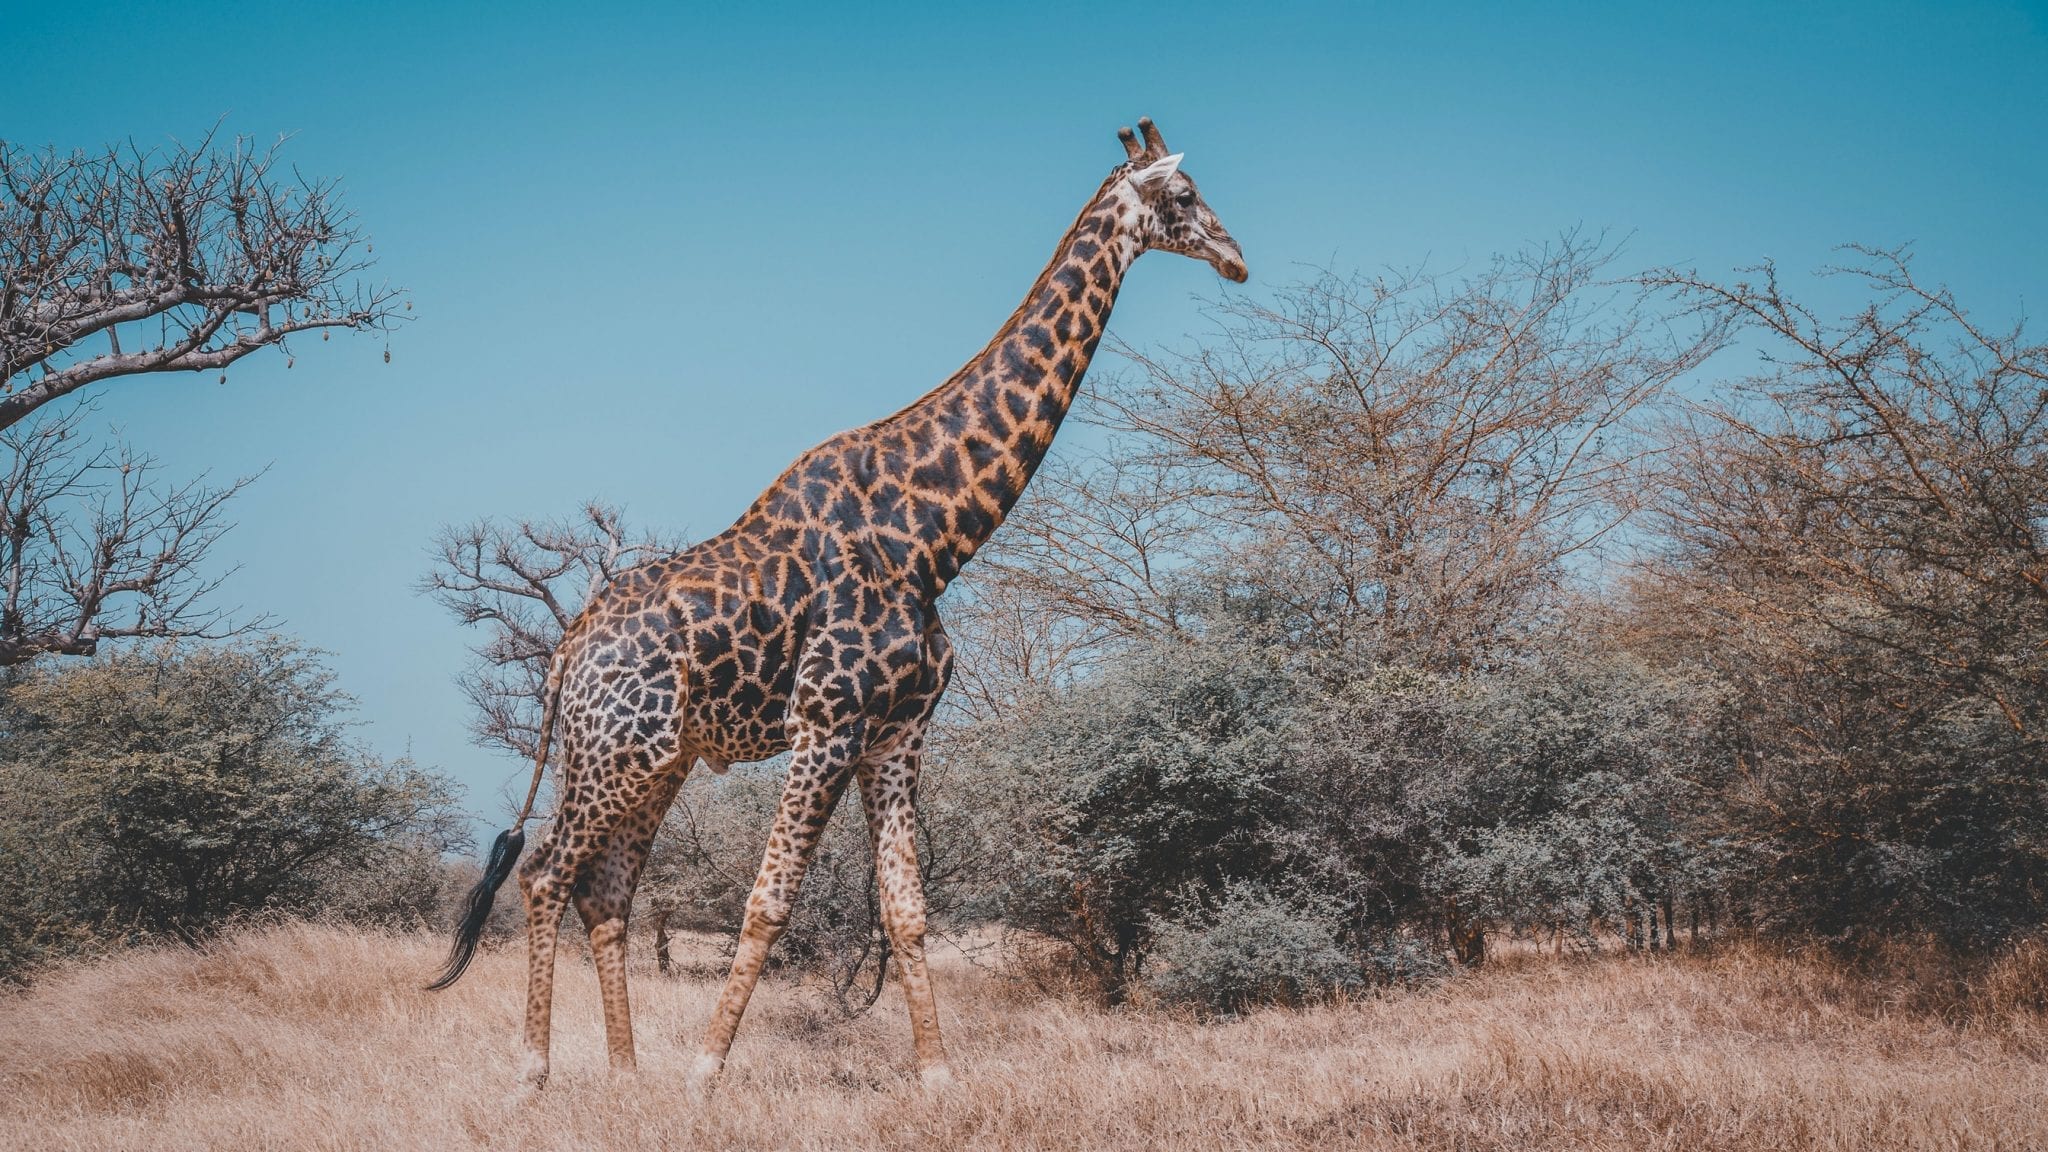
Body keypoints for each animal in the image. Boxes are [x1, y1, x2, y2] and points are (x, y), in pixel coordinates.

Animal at [427, 117, 1246, 1095]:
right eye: (1186, 196)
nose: (1237, 259)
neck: (933, 535)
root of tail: (564, 654)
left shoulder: (897, 731)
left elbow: (906, 908)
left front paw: (937, 1078)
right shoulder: (826, 721)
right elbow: (769, 902)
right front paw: (704, 1073)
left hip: (658, 762)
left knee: (606, 890)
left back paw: (625, 1074)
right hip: (614, 753)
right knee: (546, 873)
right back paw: (535, 1070)